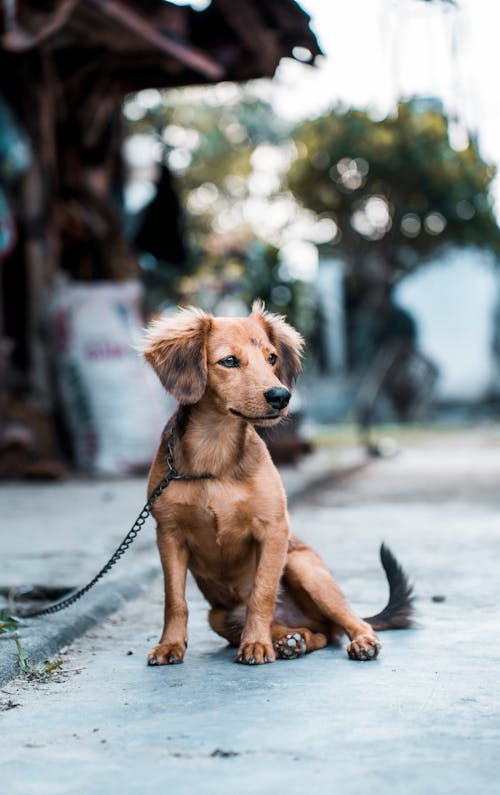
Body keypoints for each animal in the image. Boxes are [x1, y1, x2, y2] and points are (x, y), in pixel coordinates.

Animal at [143, 300, 412, 664]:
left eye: (271, 358)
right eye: (229, 361)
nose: (281, 396)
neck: (215, 454)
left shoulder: (273, 529)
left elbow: (262, 594)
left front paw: (256, 645)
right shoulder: (169, 535)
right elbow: (175, 600)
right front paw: (169, 645)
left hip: (305, 567)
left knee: (347, 622)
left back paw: (358, 641)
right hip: (219, 615)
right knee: (316, 634)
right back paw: (291, 641)